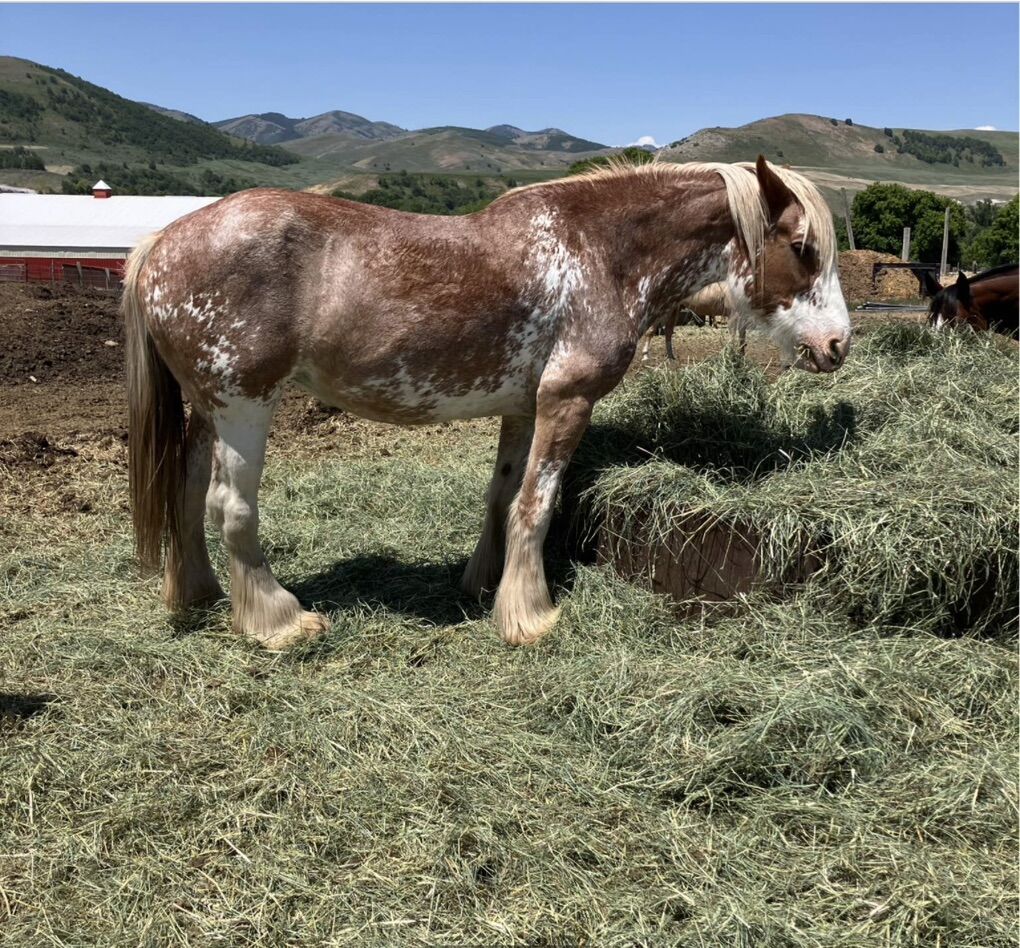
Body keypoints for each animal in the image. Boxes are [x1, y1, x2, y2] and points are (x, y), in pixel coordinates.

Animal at [124, 155, 851, 650]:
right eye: (802, 247)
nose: (838, 344)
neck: (601, 251)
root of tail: (159, 243)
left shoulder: (524, 407)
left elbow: (503, 495)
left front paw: (484, 582)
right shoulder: (567, 400)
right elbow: (538, 503)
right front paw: (530, 614)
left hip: (206, 409)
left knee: (185, 494)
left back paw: (197, 595)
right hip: (244, 405)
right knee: (230, 508)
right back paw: (279, 621)